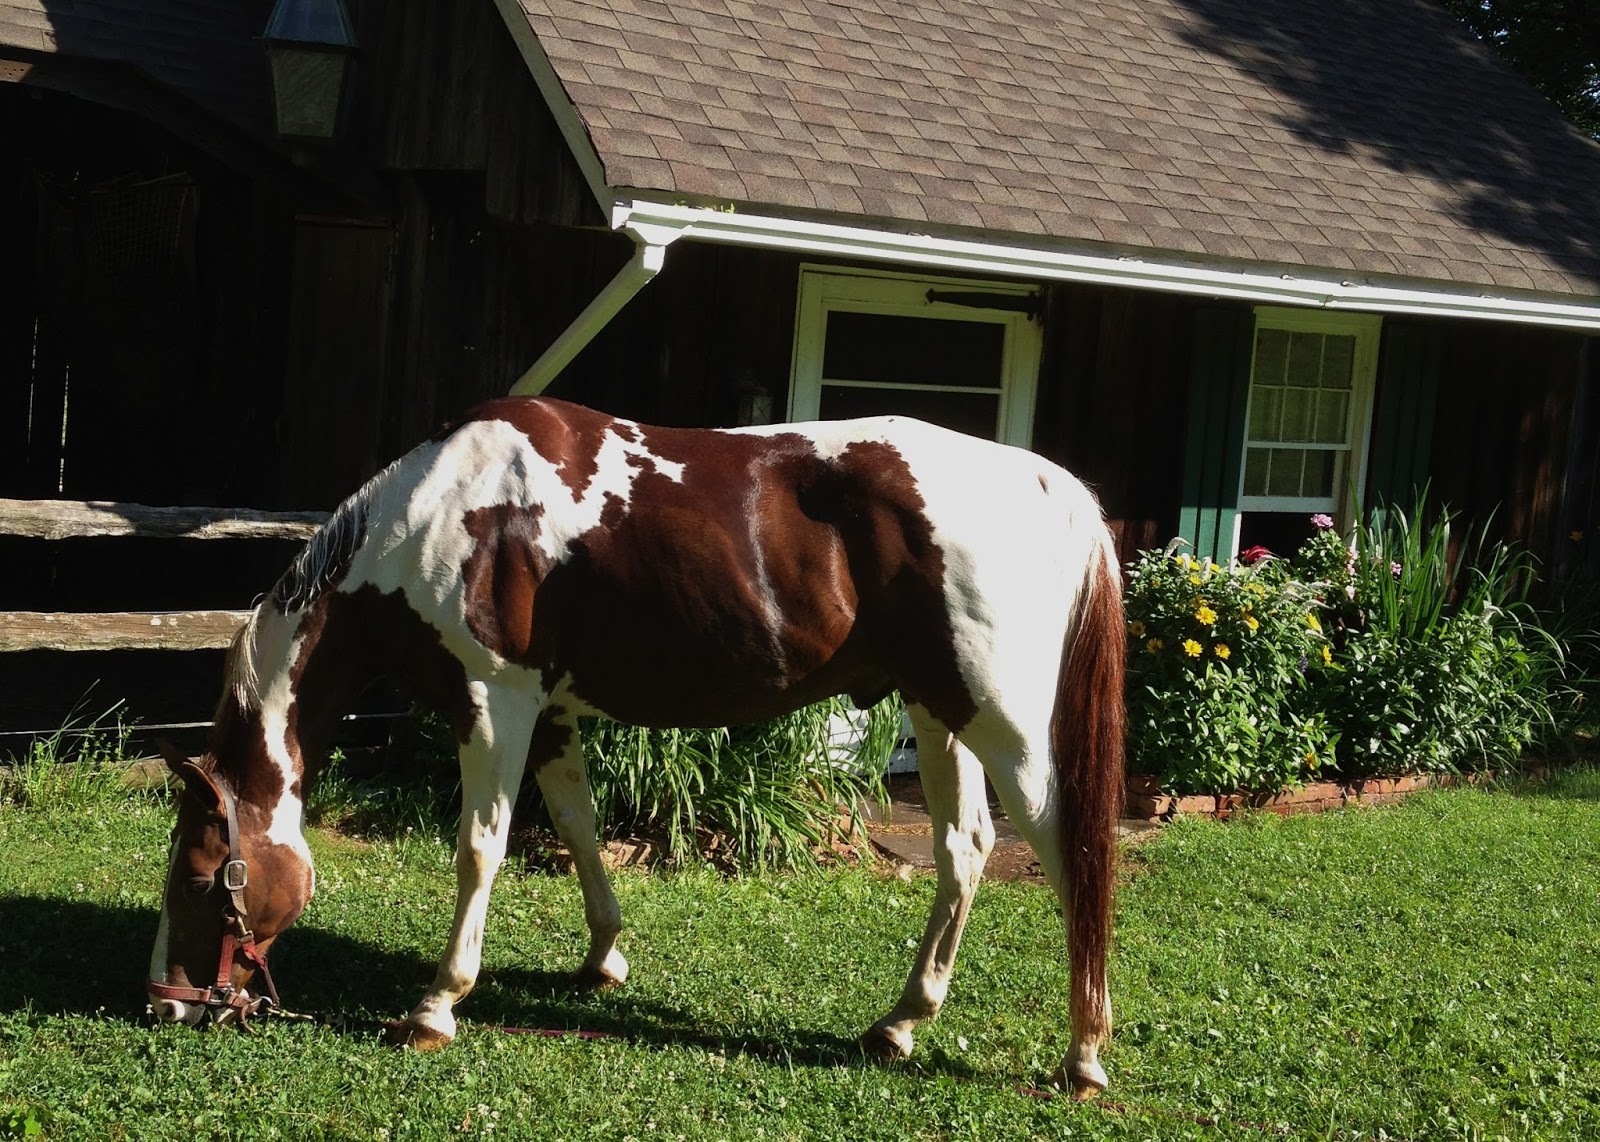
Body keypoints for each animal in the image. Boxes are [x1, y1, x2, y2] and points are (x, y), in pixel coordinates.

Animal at [146, 395, 1126, 1097]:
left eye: (199, 880)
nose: (168, 1005)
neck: (442, 515)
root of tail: (1050, 485)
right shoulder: (550, 713)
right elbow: (578, 828)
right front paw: (603, 959)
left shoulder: (495, 701)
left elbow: (480, 849)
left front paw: (435, 1006)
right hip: (938, 708)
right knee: (966, 850)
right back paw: (900, 1024)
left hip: (1000, 722)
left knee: (1070, 859)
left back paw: (1082, 1058)